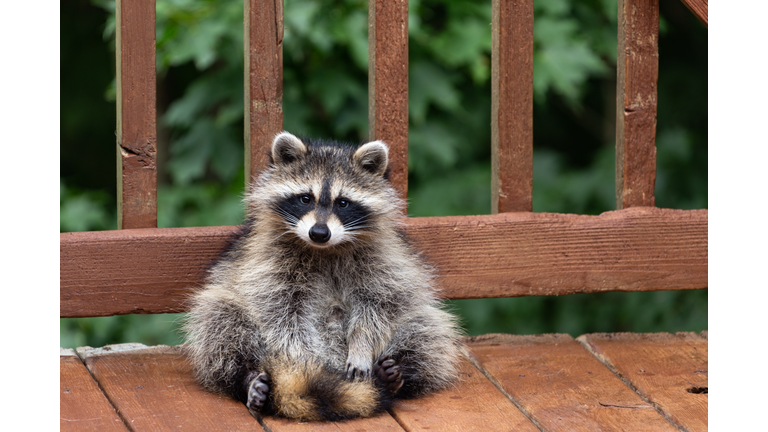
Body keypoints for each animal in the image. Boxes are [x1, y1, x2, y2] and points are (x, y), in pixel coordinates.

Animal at [184, 132, 462, 422]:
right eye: (306, 198)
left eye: (343, 202)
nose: (319, 233)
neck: (325, 249)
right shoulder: (267, 261)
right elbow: (283, 314)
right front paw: (301, 363)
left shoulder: (384, 258)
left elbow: (381, 303)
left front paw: (362, 344)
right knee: (220, 320)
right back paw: (249, 379)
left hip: (415, 326)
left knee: (425, 330)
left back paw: (398, 374)